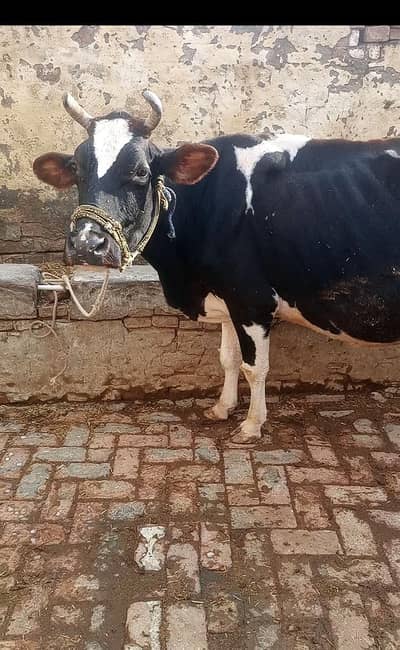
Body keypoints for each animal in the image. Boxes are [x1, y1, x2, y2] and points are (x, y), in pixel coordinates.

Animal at [33, 90, 400, 443]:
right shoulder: (226, 297)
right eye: (77, 170)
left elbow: (255, 367)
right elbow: (228, 358)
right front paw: (223, 407)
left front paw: (251, 425)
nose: (86, 243)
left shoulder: (252, 298)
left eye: (141, 172)